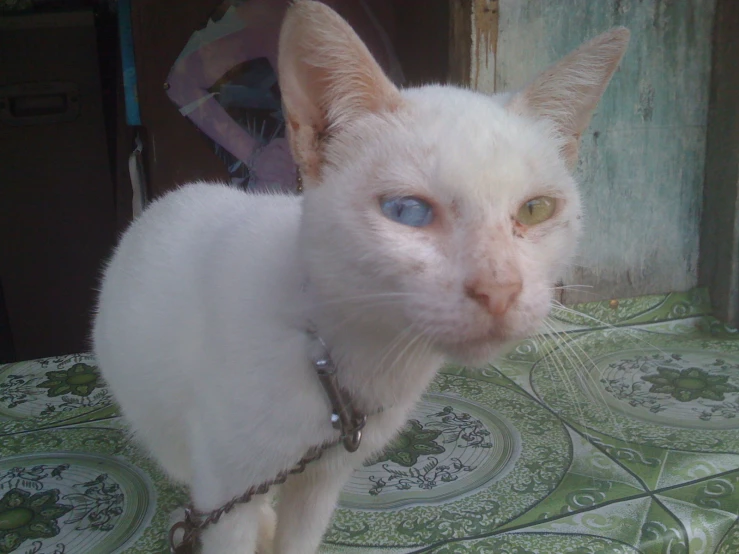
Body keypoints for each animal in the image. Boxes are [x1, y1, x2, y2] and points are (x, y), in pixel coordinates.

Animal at [92, 2, 632, 548]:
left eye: (535, 209)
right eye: (407, 211)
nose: (499, 289)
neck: (338, 355)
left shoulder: (321, 480)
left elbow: (299, 540)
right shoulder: (228, 489)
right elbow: (233, 518)